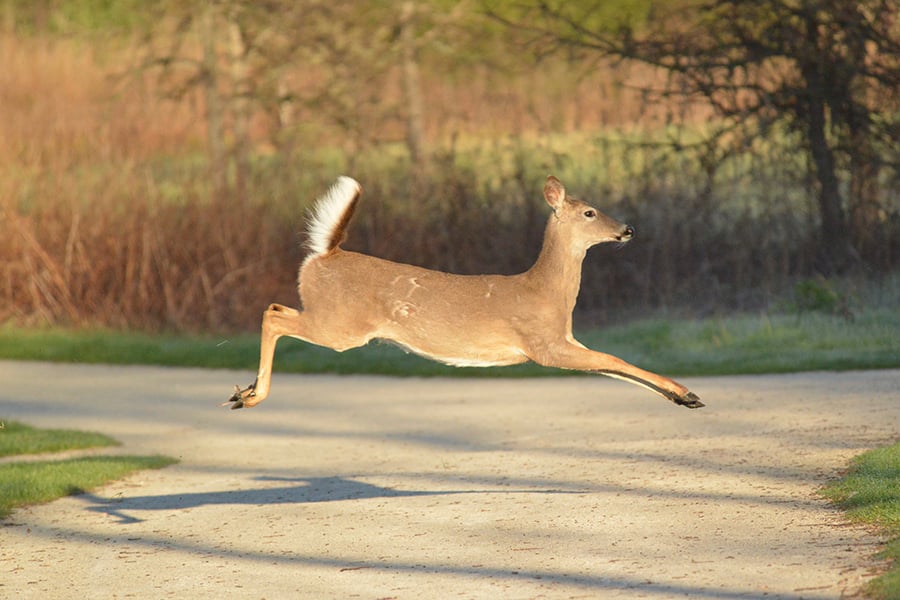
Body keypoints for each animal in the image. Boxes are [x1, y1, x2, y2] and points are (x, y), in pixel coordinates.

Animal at [225, 173, 704, 408]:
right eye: (589, 212)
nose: (628, 229)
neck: (545, 290)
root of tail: (324, 255)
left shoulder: (564, 340)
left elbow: (613, 366)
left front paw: (685, 396)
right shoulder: (543, 345)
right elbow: (613, 360)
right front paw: (685, 392)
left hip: (334, 321)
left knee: (275, 308)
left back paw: (245, 391)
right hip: (340, 325)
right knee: (273, 313)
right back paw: (251, 395)